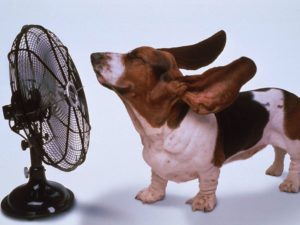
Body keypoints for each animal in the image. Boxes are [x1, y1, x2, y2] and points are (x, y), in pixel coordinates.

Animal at [90, 30, 300, 212]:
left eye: (137, 57)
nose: (94, 55)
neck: (162, 133)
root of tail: (291, 96)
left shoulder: (210, 168)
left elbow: (207, 184)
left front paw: (202, 202)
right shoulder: (156, 167)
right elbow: (157, 179)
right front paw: (152, 195)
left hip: (293, 142)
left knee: (294, 162)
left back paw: (290, 183)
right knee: (279, 151)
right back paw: (275, 170)